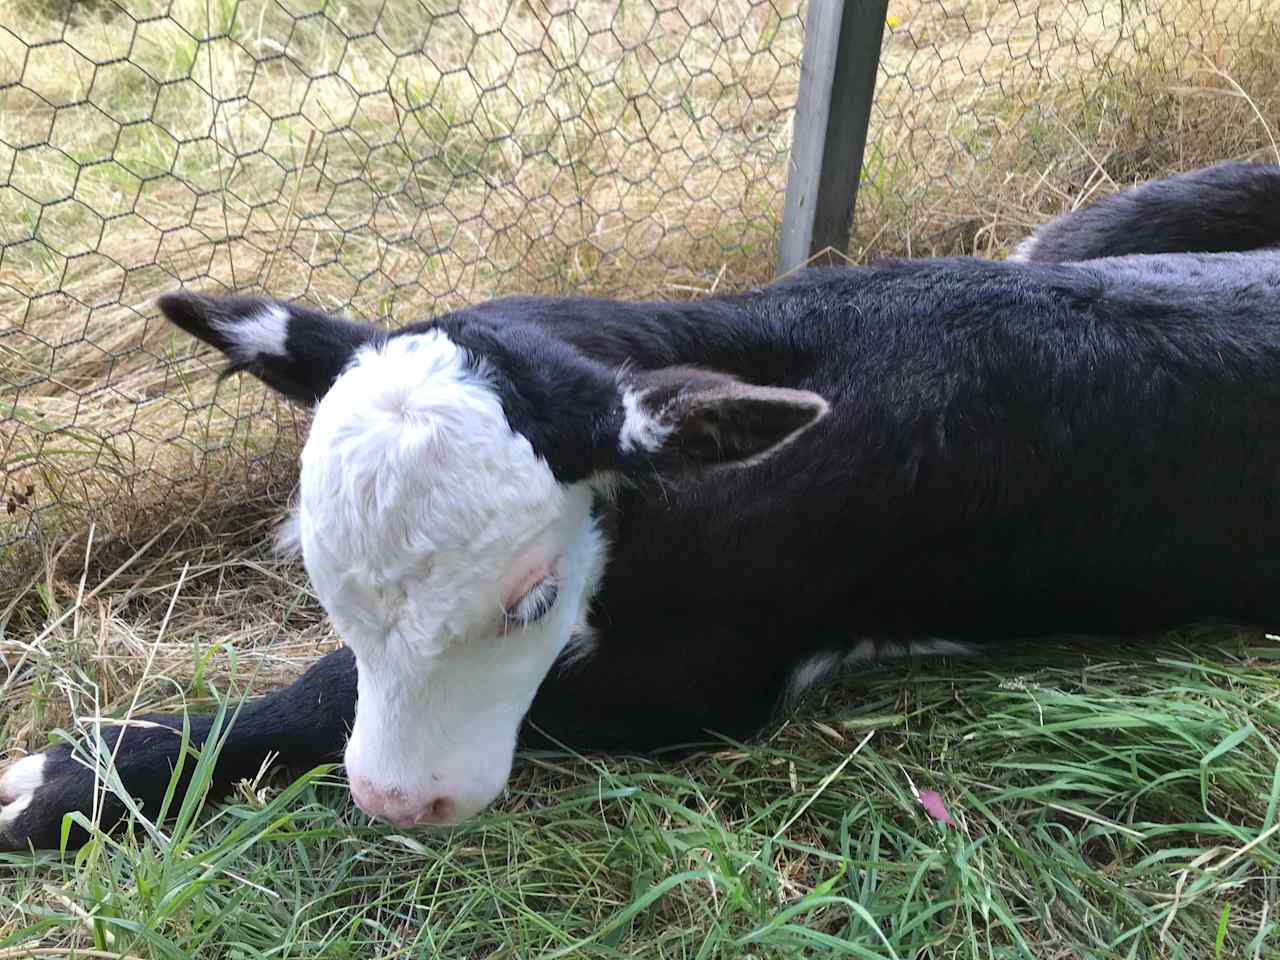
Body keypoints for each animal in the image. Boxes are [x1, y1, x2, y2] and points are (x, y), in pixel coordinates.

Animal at [2, 163, 1280, 849]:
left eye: (532, 601)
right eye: (319, 577)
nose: (400, 798)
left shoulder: (703, 680)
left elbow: (323, 700)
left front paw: (62, 779)